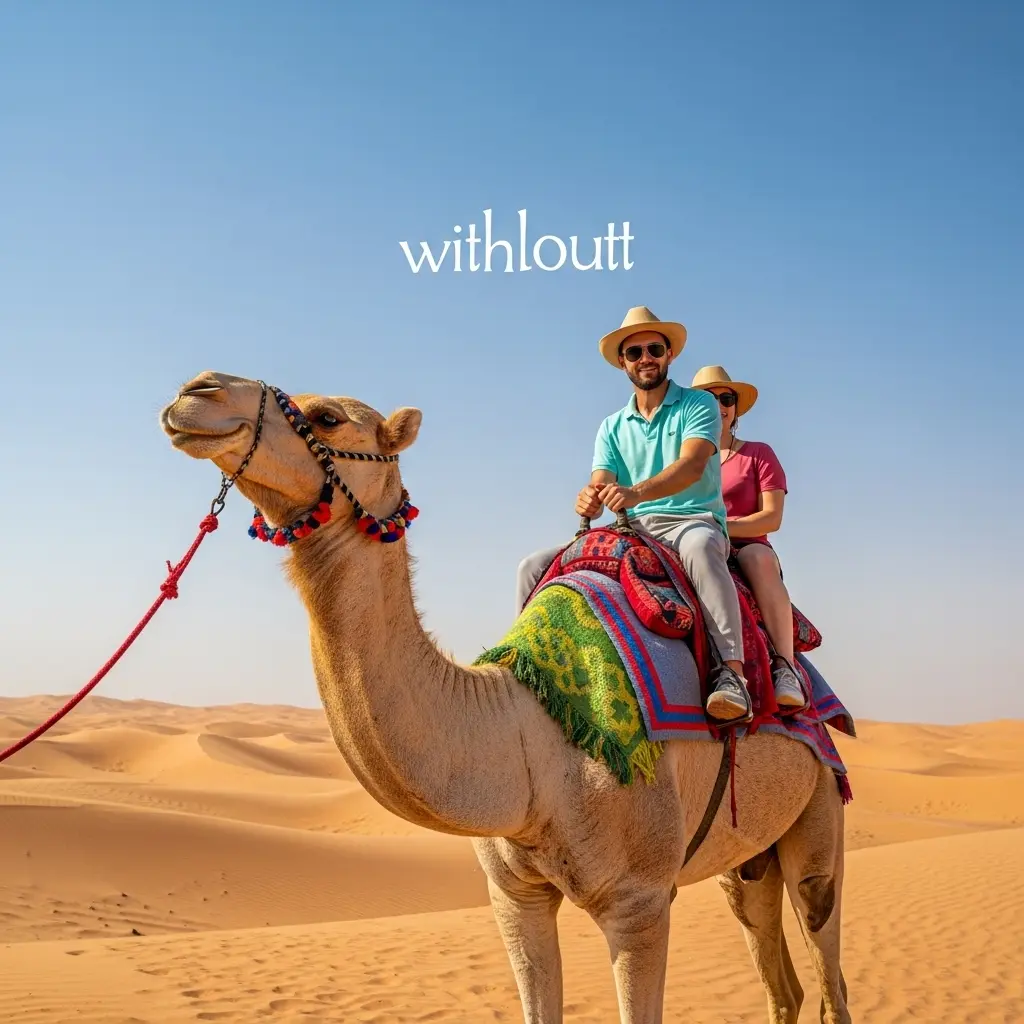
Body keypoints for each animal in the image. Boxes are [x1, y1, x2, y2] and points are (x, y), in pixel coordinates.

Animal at [159, 370, 852, 1024]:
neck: (530, 735)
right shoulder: (514, 895)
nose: (197, 391)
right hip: (748, 858)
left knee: (827, 963)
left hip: (819, 813)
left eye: (328, 417)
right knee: (781, 981)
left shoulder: (641, 901)